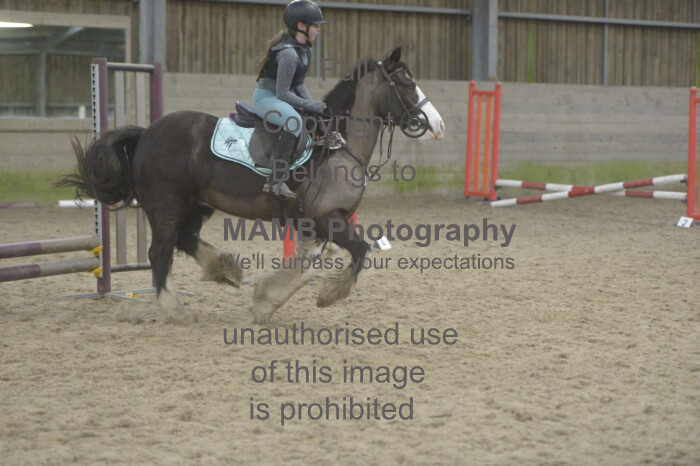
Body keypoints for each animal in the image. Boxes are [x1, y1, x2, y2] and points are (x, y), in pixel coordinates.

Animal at [59, 47, 445, 324]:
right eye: (406, 82)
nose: (437, 124)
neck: (338, 144)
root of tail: (147, 134)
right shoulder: (326, 218)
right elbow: (359, 252)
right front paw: (328, 296)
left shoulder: (317, 224)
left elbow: (306, 268)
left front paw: (264, 303)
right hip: (165, 204)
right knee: (160, 252)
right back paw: (177, 310)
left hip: (197, 205)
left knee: (185, 240)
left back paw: (224, 268)